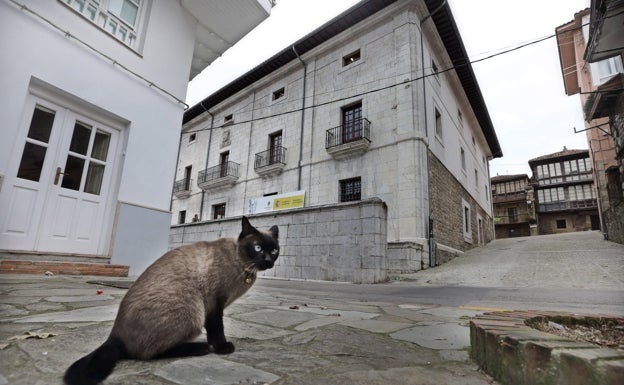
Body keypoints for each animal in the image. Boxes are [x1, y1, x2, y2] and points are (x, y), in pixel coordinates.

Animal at [63, 216, 278, 384]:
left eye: (274, 250)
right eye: (258, 248)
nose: (268, 260)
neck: (244, 267)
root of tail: (114, 335)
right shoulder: (214, 304)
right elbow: (217, 329)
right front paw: (222, 348)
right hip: (192, 312)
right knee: (145, 354)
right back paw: (200, 348)